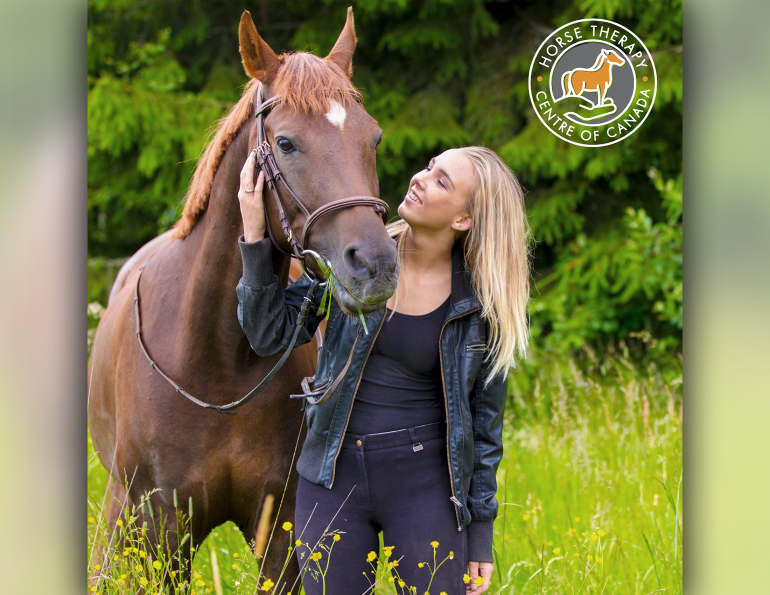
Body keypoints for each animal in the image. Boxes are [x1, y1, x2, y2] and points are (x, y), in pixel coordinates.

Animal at [88, 8, 396, 592]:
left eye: (374, 138)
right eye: (286, 143)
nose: (375, 266)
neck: (217, 357)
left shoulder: (281, 529)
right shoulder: (163, 530)